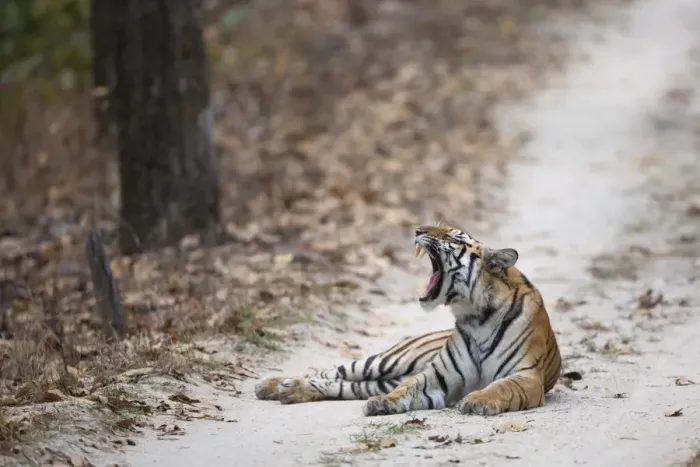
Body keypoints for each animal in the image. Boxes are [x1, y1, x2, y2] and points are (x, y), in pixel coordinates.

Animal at [254, 224, 562, 417]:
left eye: (454, 237)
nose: (417, 230)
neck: (475, 315)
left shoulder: (525, 376)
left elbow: (500, 386)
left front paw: (477, 400)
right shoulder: (437, 376)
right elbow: (408, 387)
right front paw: (383, 403)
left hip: (378, 378)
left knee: (344, 385)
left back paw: (288, 390)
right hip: (385, 361)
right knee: (331, 372)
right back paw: (273, 385)